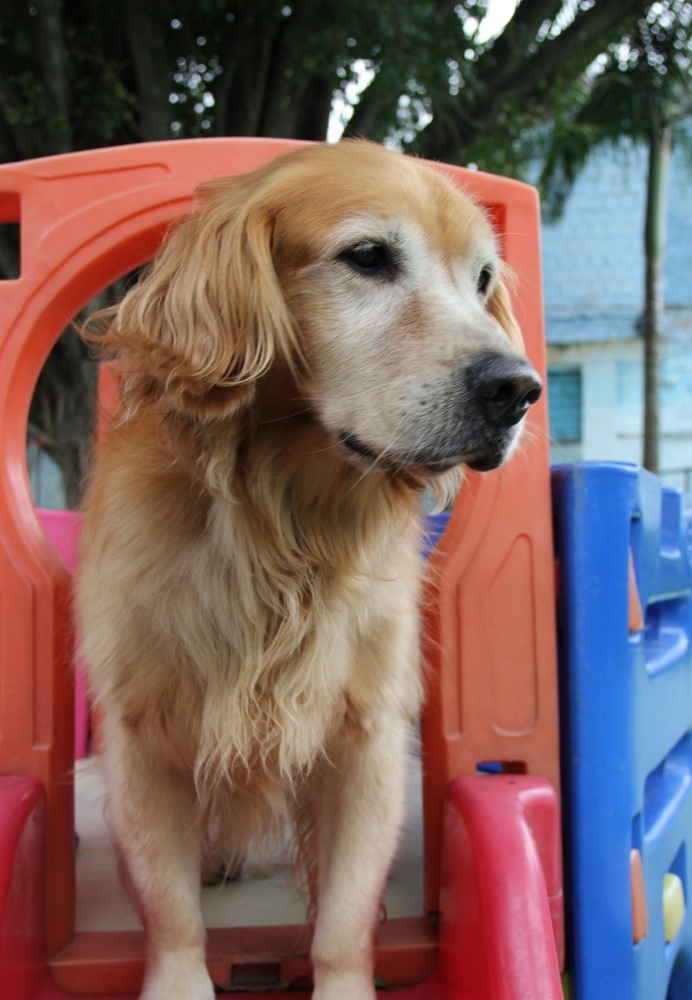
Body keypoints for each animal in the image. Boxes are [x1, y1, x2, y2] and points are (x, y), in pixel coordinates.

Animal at [75, 141, 540, 1000]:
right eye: (368, 256)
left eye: (483, 279)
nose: (519, 389)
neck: (283, 526)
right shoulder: (143, 730)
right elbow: (172, 911)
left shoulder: (366, 735)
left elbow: (345, 918)